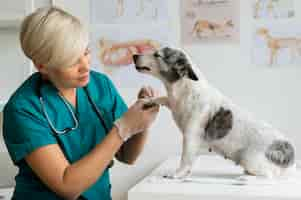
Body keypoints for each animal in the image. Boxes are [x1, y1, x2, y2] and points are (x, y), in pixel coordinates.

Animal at [133, 47, 296, 180]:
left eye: (157, 55)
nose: (134, 55)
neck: (183, 91)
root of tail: (290, 155)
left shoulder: (190, 136)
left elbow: (185, 159)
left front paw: (177, 174)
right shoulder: (172, 103)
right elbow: (163, 98)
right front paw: (149, 100)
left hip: (249, 158)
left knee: (268, 176)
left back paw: (245, 178)